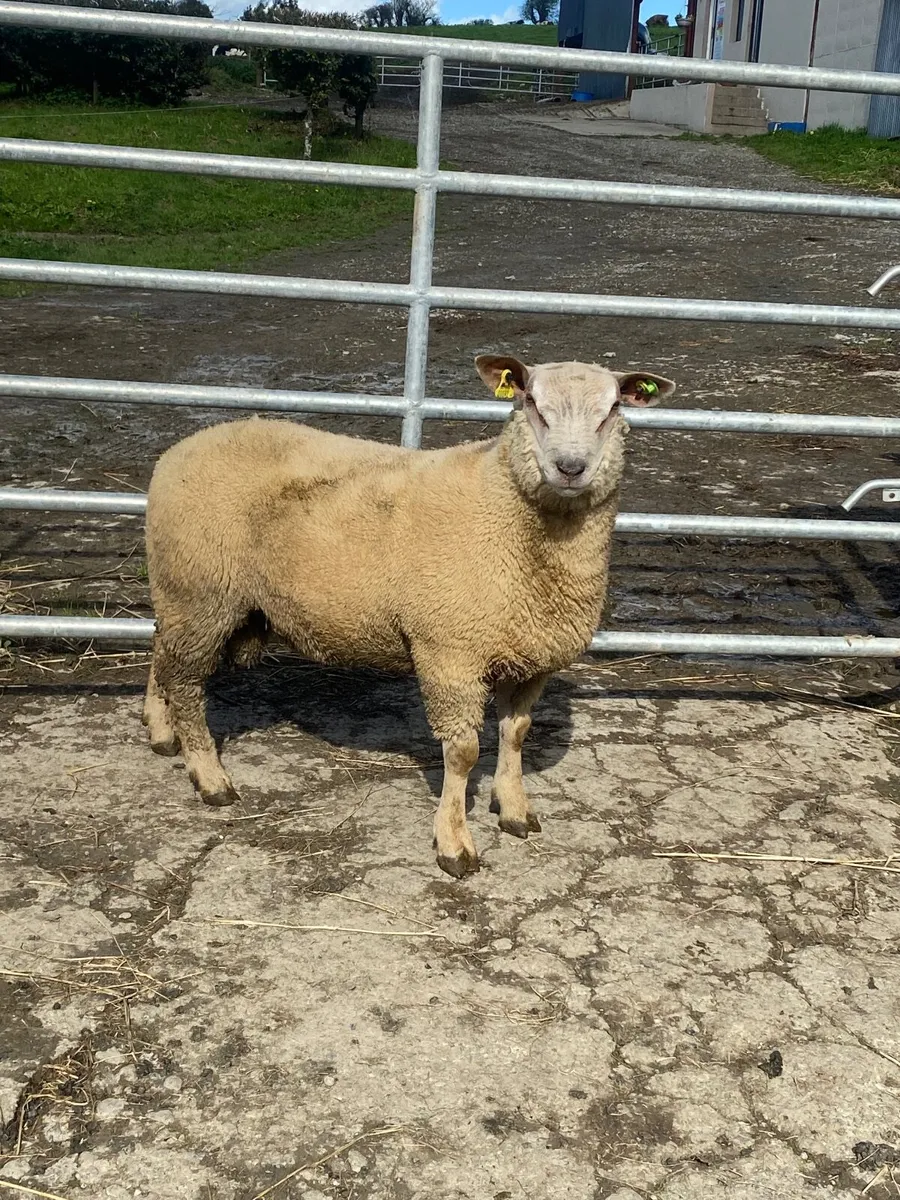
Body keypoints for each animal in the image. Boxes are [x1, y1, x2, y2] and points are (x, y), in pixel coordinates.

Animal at [142, 354, 675, 878]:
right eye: (532, 404)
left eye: (611, 409)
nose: (570, 467)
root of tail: (180, 450)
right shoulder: (450, 653)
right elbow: (462, 753)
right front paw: (454, 844)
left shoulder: (531, 655)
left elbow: (516, 734)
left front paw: (514, 809)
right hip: (201, 590)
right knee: (185, 683)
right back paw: (210, 777)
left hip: (184, 594)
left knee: (161, 654)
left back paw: (162, 732)